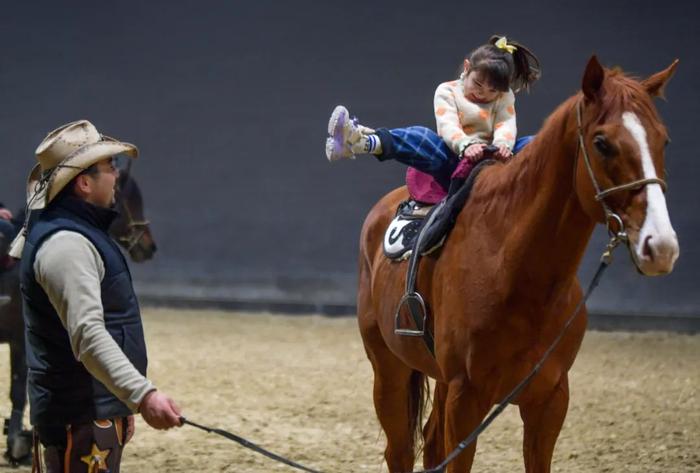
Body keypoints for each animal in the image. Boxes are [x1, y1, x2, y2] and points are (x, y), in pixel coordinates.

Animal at [358, 56, 676, 472]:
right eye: (602, 143)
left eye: (663, 140)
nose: (662, 245)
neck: (513, 269)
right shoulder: (467, 398)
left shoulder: (551, 399)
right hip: (388, 369)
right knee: (401, 450)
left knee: (430, 443)